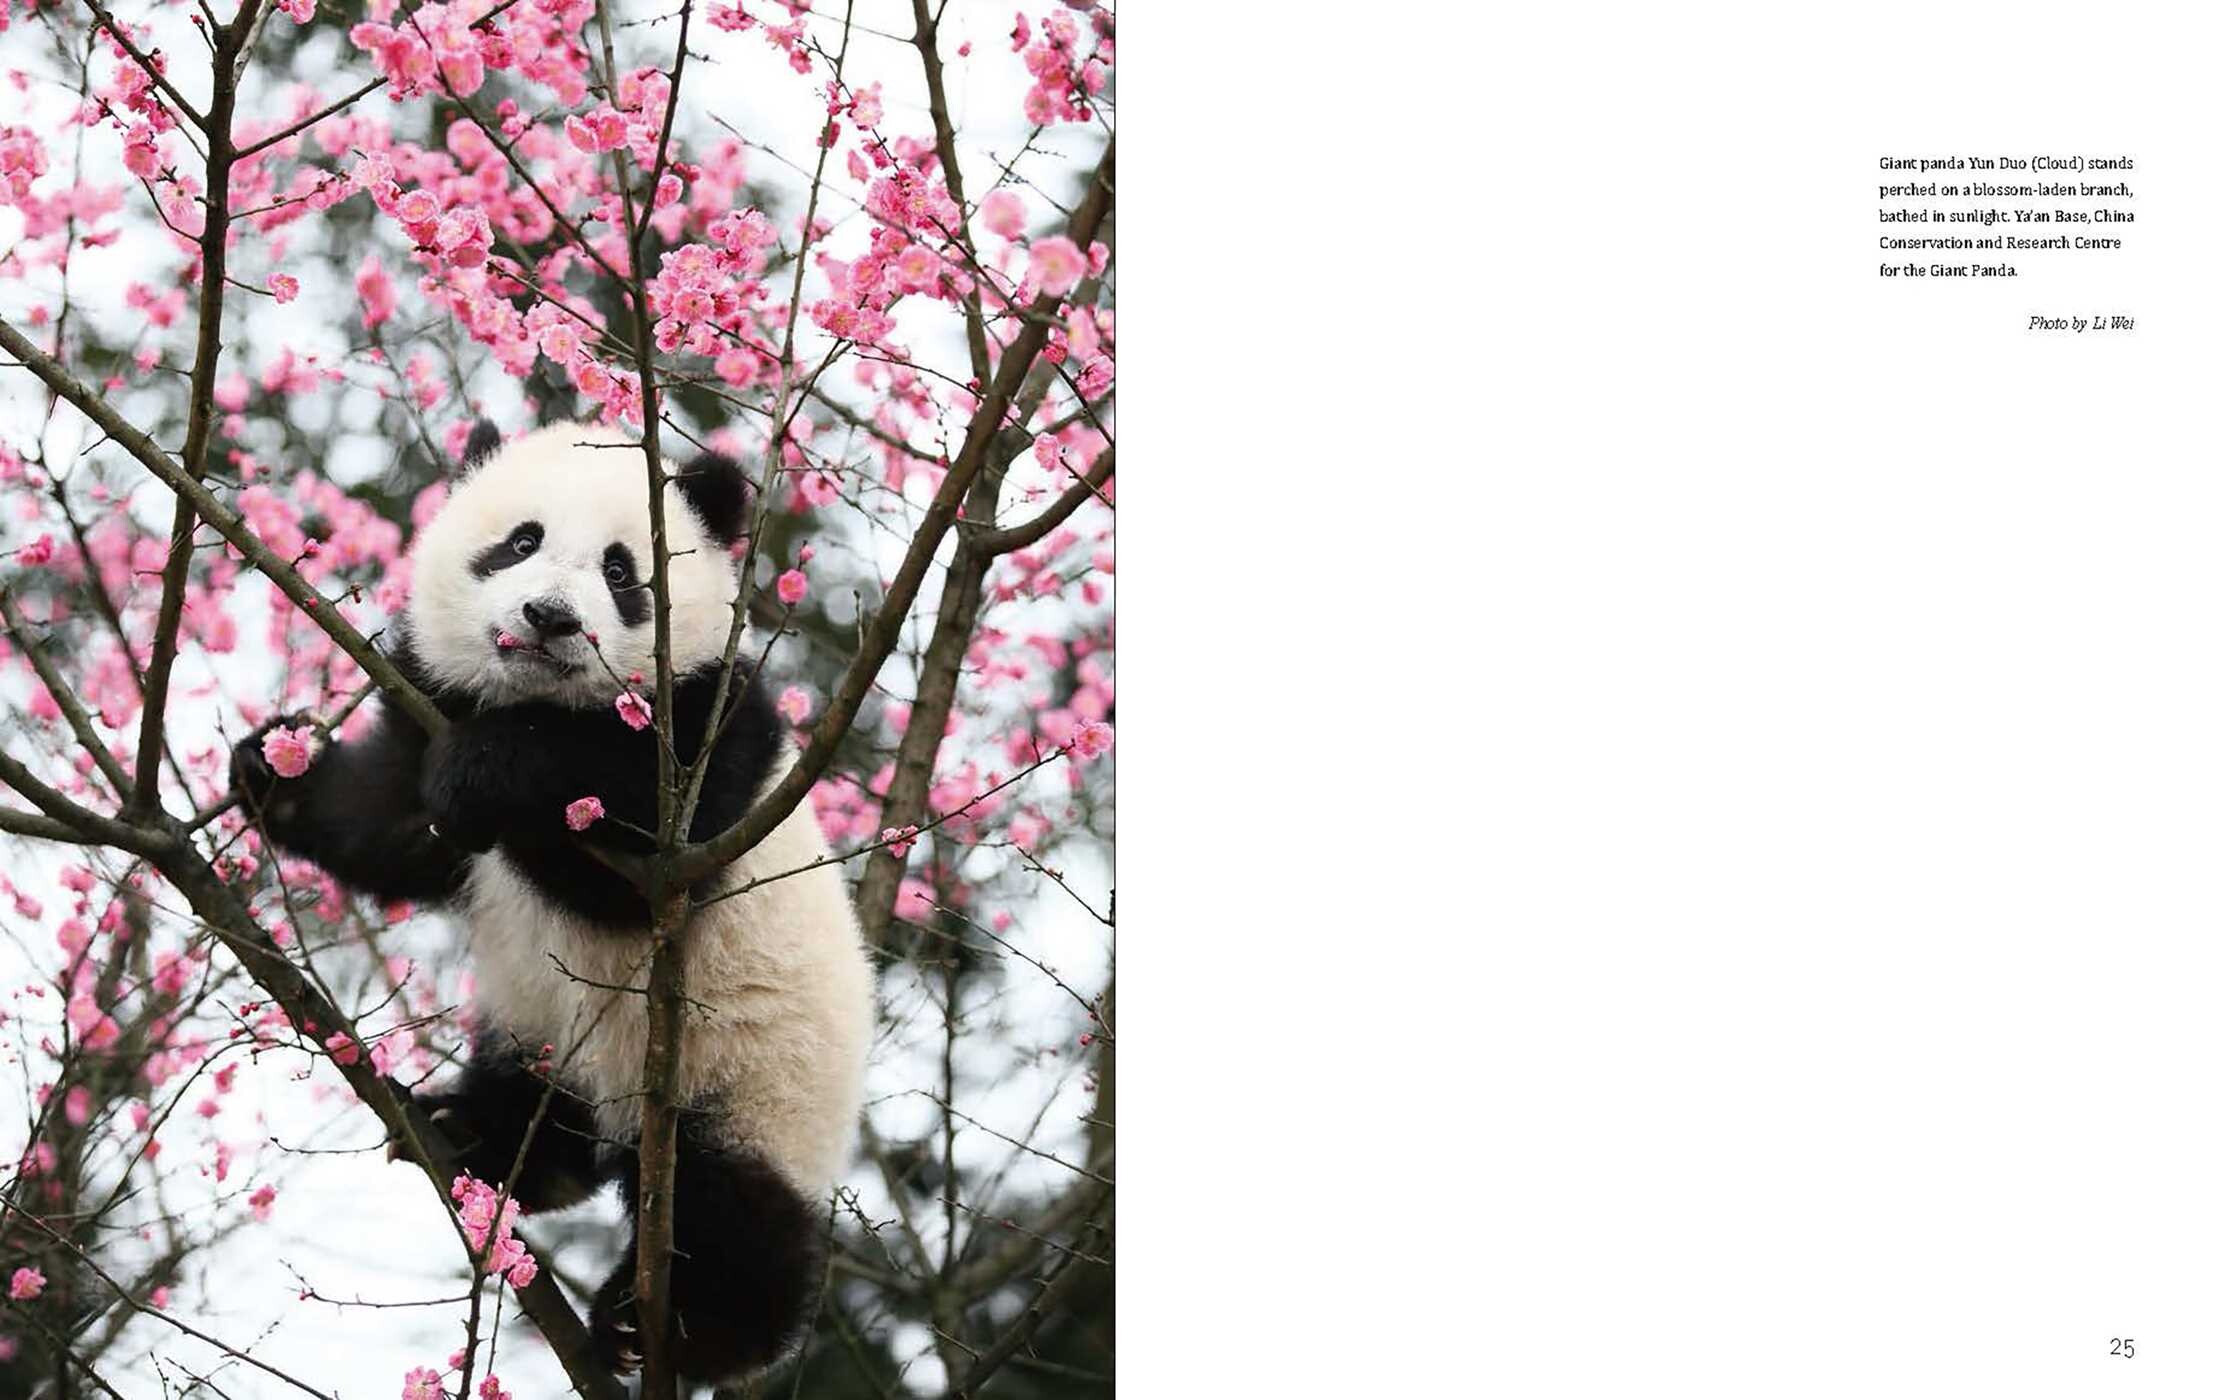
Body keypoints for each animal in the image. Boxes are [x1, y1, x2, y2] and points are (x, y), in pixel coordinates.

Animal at [228, 421, 874, 1386]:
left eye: (621, 571)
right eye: (521, 541)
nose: (551, 619)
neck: (536, 695)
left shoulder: (707, 749)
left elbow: (622, 858)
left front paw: (489, 768)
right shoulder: (432, 702)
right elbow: (394, 820)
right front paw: (279, 769)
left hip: (758, 1081)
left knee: (734, 1216)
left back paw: (669, 1327)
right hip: (543, 1031)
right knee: (539, 1101)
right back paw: (475, 1136)